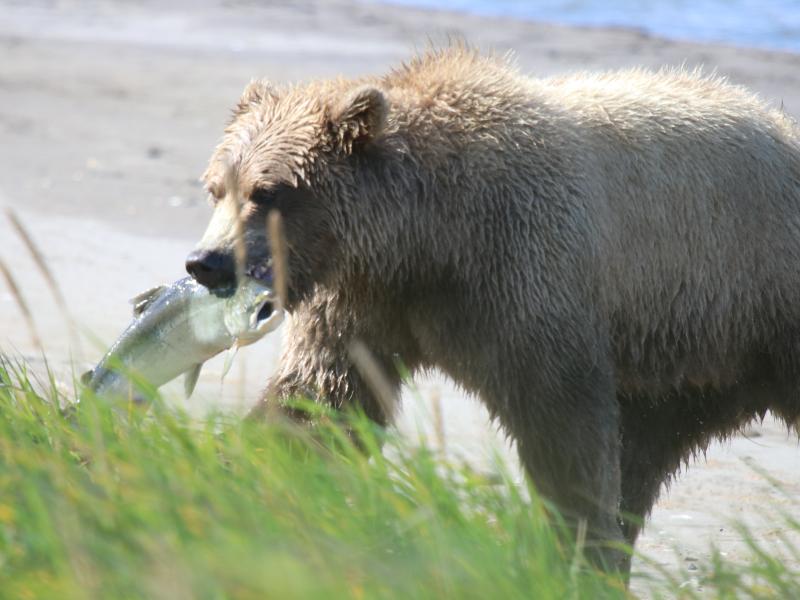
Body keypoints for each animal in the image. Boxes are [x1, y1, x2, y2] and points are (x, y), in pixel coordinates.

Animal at [184, 48, 800, 573]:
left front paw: (572, 543)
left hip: (748, 295)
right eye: (217, 187)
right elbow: (318, 398)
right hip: (686, 368)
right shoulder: (368, 303)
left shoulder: (523, 271)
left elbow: (565, 421)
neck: (427, 240)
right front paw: (236, 477)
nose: (205, 262)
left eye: (267, 191)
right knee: (647, 454)